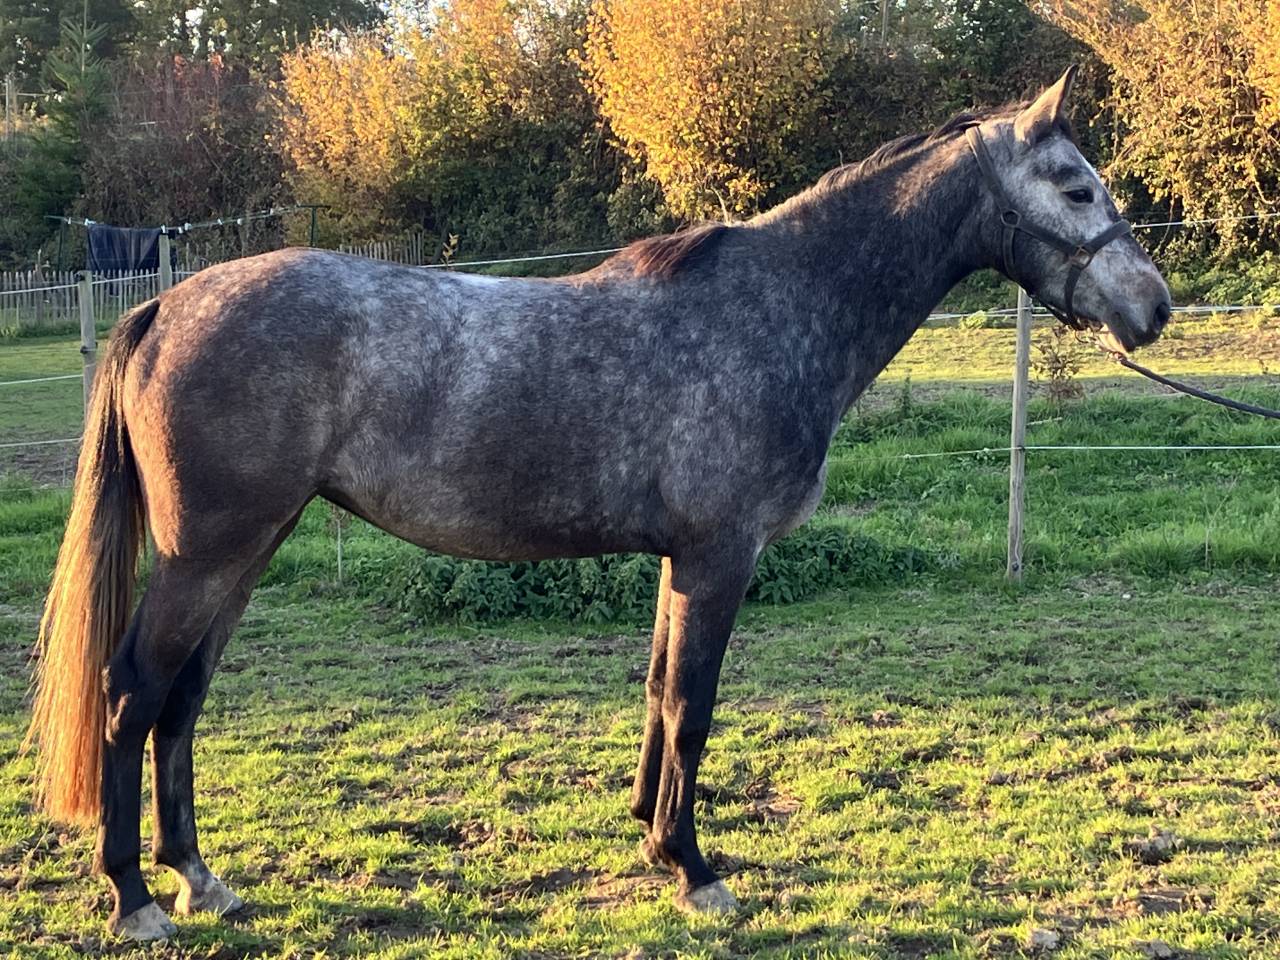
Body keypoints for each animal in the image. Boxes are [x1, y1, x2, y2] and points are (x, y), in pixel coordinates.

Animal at [27, 66, 1171, 940]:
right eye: (1074, 186)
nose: (1153, 307)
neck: (773, 310)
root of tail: (168, 302)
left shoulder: (680, 560)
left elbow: (660, 694)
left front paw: (654, 839)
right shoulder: (719, 557)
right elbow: (693, 708)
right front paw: (698, 872)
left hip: (246, 550)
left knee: (182, 703)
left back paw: (199, 878)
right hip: (208, 554)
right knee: (131, 695)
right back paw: (134, 898)